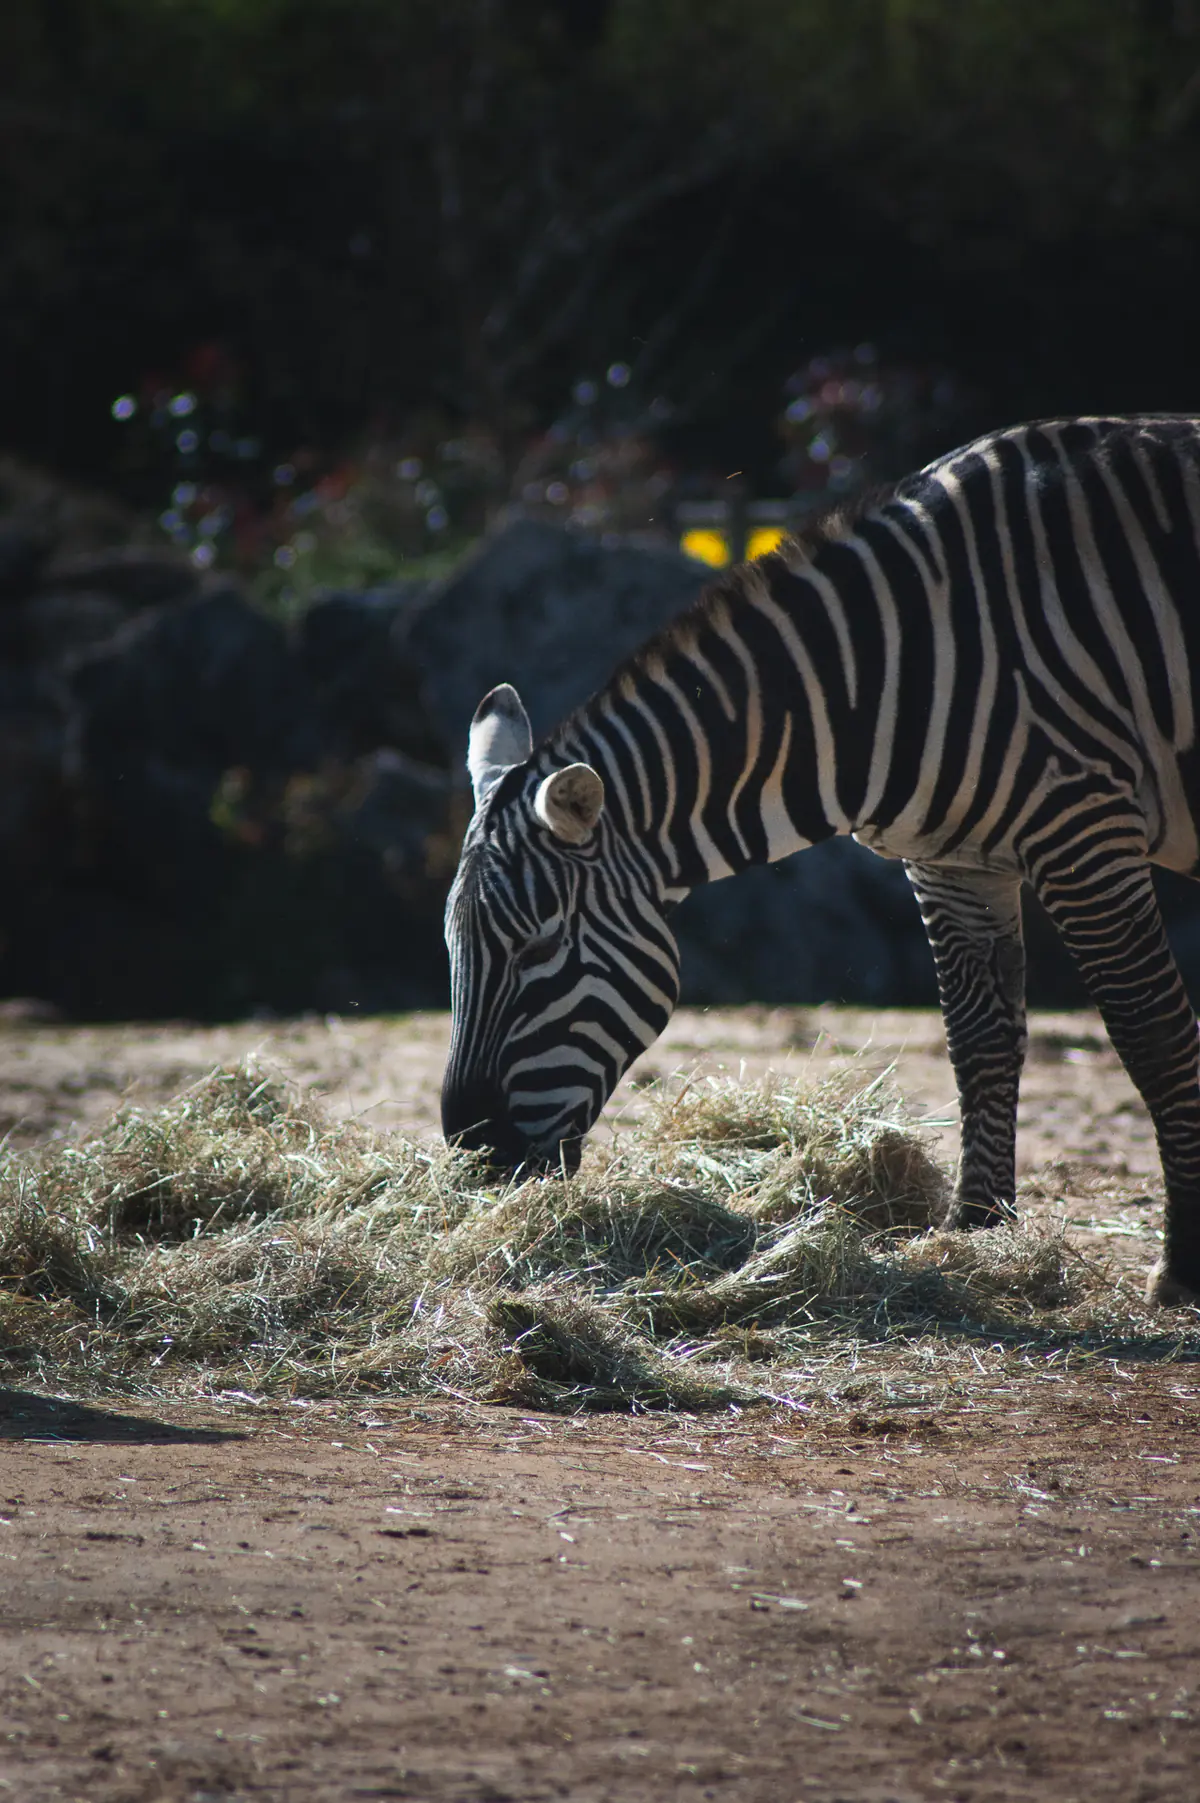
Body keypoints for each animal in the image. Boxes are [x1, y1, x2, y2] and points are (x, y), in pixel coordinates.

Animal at [441, 415, 1200, 1307]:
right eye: (453, 949)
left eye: (539, 945)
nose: (471, 1152)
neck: (894, 670)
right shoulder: (952, 863)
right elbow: (979, 1038)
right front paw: (976, 1230)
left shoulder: (1083, 827)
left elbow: (1152, 1035)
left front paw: (1183, 1265)